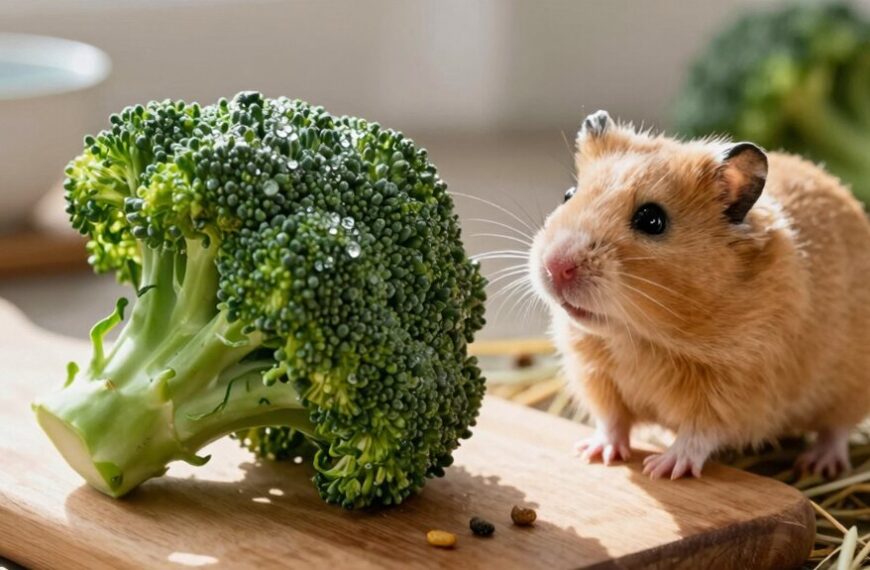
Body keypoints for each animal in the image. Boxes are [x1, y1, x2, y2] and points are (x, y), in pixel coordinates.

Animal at [529, 110, 870, 479]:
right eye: (568, 194)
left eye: (652, 220)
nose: (555, 266)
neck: (637, 337)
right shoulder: (595, 375)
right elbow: (611, 420)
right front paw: (595, 454)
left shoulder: (737, 390)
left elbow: (699, 433)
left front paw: (662, 468)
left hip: (850, 388)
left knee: (837, 429)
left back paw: (819, 464)